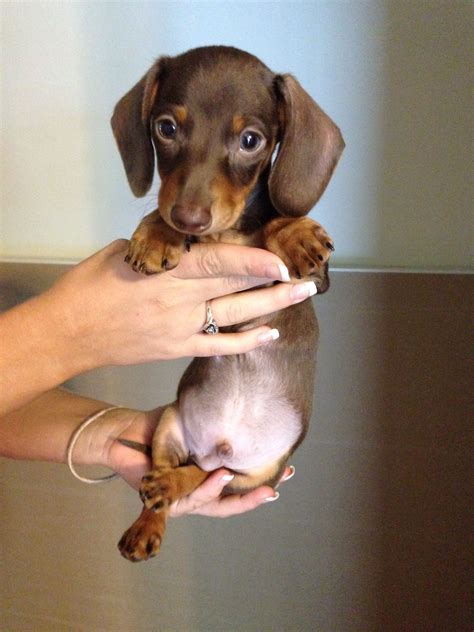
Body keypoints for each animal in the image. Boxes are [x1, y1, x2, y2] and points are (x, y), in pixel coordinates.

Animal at [113, 48, 346, 564]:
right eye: (166, 128)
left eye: (250, 140)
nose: (189, 218)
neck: (229, 232)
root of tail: (217, 448)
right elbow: (158, 210)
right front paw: (157, 233)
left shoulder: (314, 281)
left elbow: (278, 220)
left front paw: (295, 231)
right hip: (168, 427)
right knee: (183, 479)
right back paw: (149, 516)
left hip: (261, 473)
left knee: (212, 477)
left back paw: (175, 483)